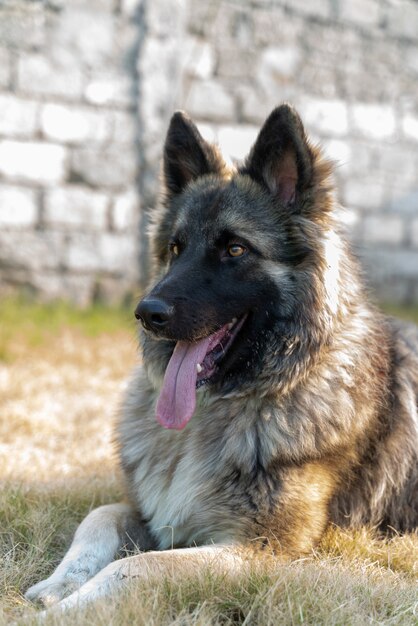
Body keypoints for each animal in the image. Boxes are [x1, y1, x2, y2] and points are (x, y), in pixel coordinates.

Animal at [26, 103, 418, 608]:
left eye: (234, 248)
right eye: (176, 248)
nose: (146, 313)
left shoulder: (261, 548)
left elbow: (143, 565)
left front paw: (69, 608)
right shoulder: (152, 511)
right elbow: (100, 516)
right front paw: (59, 584)